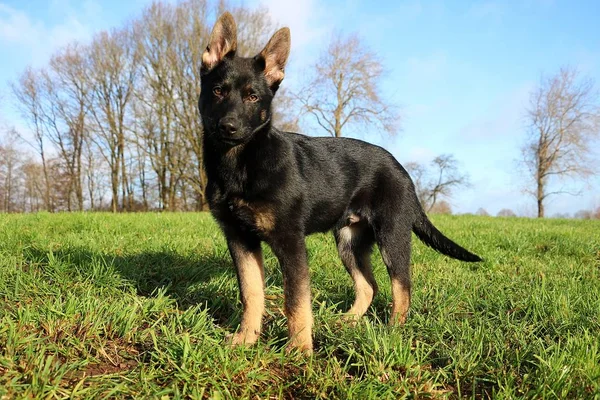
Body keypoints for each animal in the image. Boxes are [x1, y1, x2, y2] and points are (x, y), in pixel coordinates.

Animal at [199, 10, 480, 352]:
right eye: (218, 91)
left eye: (253, 96)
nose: (229, 127)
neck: (241, 162)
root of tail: (402, 171)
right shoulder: (240, 239)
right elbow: (252, 294)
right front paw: (246, 339)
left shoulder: (290, 242)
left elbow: (296, 301)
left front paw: (299, 349)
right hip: (350, 241)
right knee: (369, 286)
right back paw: (347, 321)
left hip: (392, 235)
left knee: (402, 287)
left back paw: (392, 332)